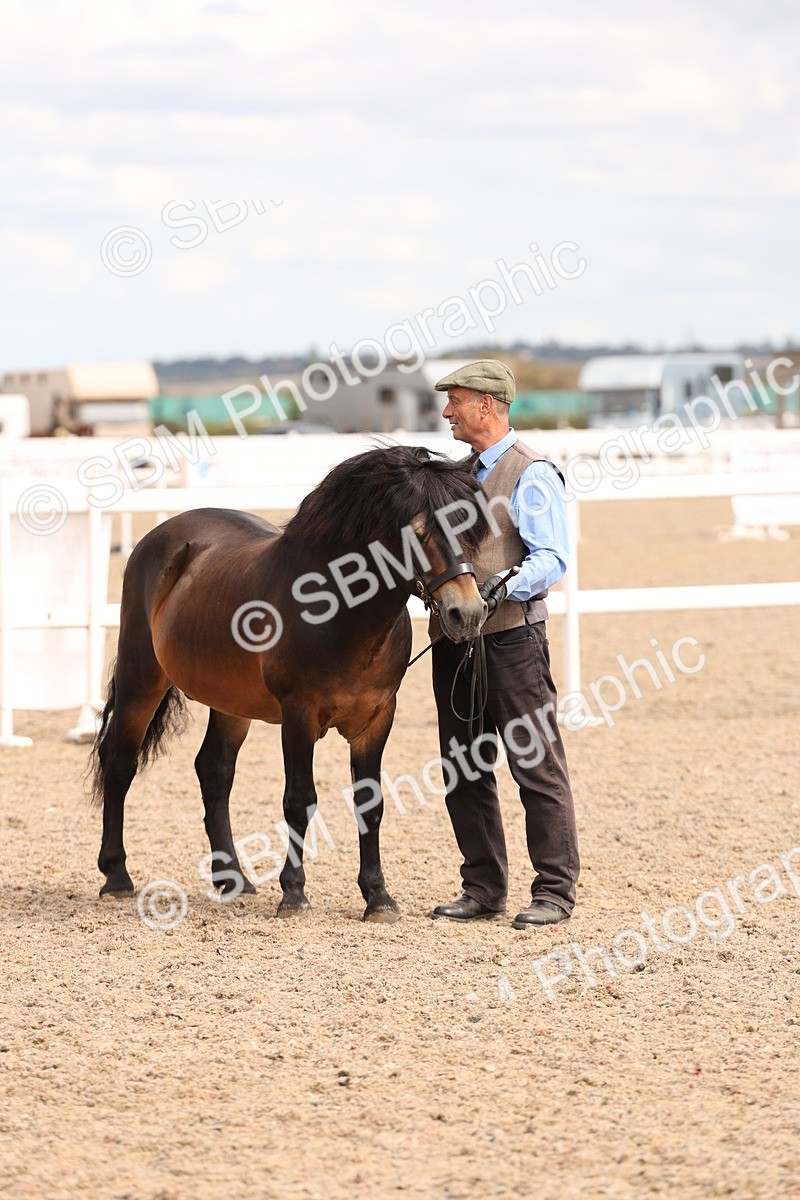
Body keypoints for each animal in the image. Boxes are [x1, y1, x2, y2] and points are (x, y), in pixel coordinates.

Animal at [89, 444, 490, 922]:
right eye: (418, 532)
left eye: (471, 526)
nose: (468, 614)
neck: (340, 613)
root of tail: (162, 538)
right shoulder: (299, 715)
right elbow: (299, 800)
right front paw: (294, 892)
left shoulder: (377, 718)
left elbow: (370, 803)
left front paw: (378, 897)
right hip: (141, 679)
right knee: (120, 762)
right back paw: (116, 875)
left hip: (231, 702)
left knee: (214, 771)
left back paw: (233, 878)